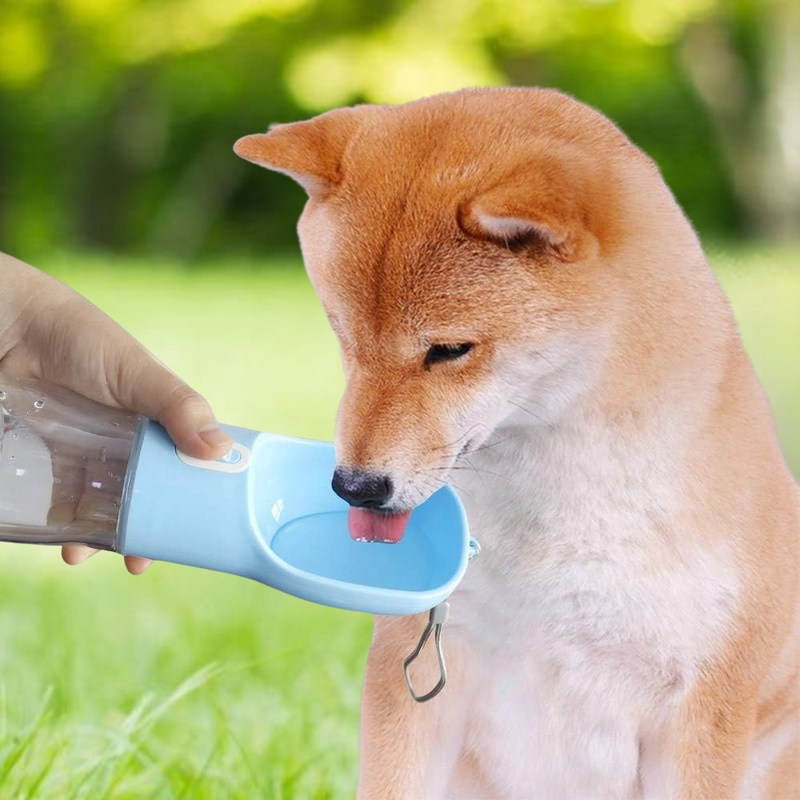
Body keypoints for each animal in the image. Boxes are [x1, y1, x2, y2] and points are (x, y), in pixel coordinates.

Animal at [234, 87, 796, 800]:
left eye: (449, 350)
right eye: (342, 333)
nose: (354, 486)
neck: (565, 510)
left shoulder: (704, 708)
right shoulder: (411, 672)